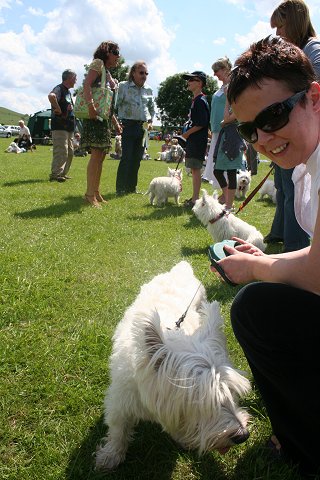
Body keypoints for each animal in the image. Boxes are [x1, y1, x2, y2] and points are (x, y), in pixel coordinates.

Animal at [94, 260, 250, 470]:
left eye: (232, 392)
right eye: (202, 402)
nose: (243, 435)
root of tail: (181, 268)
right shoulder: (121, 401)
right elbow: (118, 429)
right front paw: (110, 456)